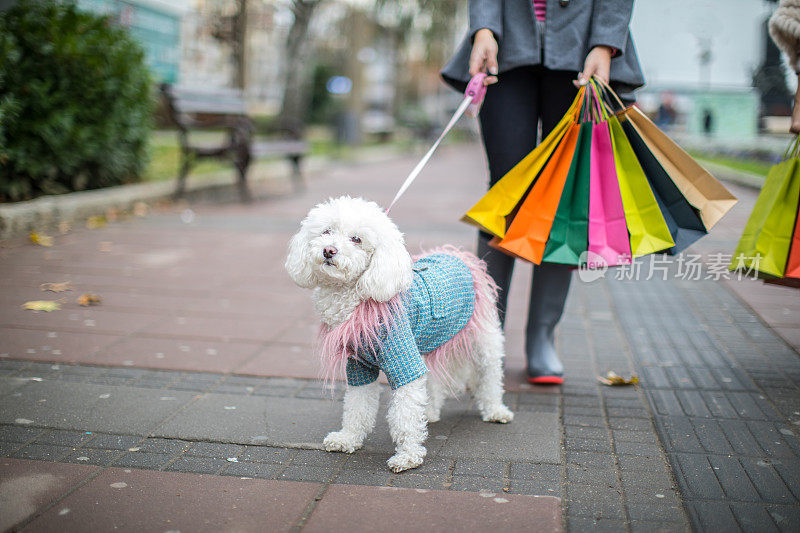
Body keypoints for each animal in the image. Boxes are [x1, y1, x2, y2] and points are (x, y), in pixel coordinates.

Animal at [288, 197, 512, 472]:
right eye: (326, 231)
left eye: (356, 239)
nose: (329, 250)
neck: (356, 298)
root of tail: (458, 255)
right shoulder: (359, 366)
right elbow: (357, 406)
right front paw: (348, 438)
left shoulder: (403, 360)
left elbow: (405, 413)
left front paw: (408, 456)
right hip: (427, 341)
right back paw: (430, 411)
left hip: (483, 337)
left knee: (490, 375)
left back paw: (495, 410)